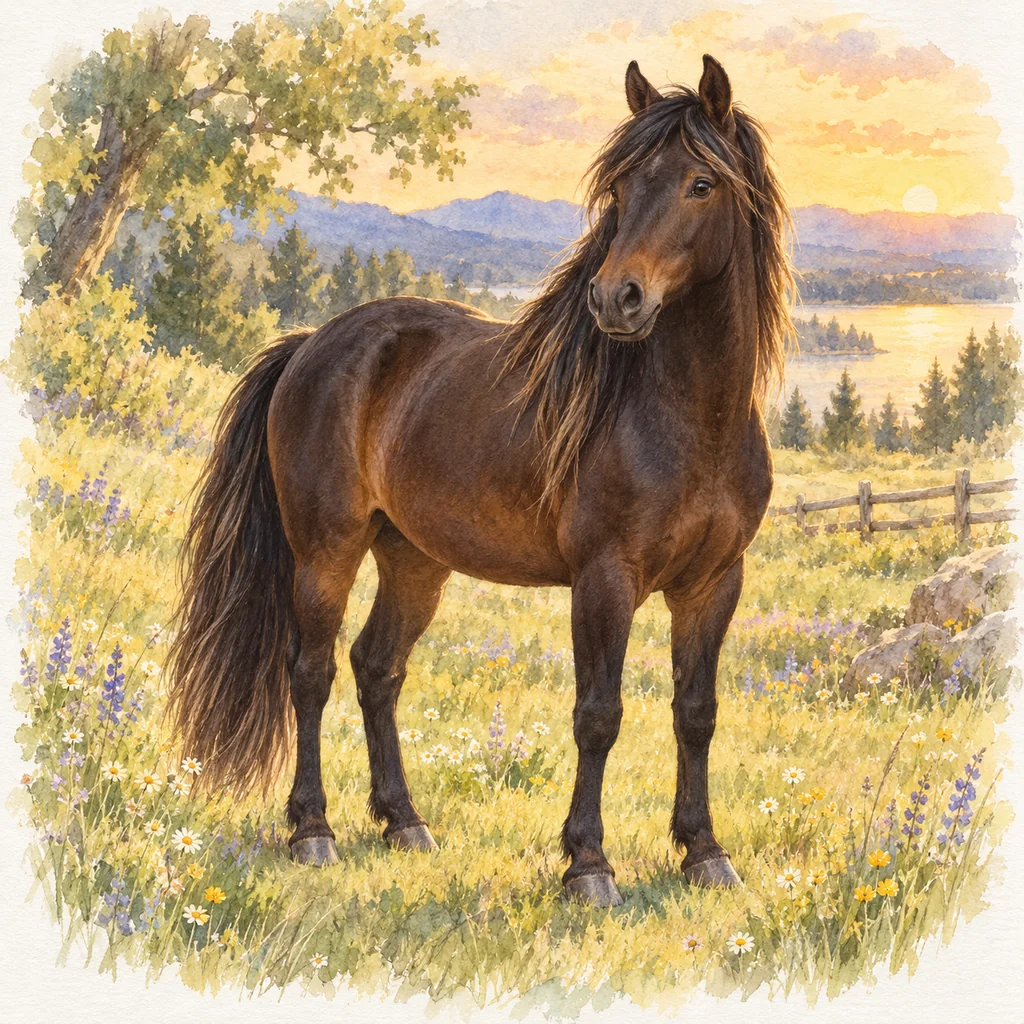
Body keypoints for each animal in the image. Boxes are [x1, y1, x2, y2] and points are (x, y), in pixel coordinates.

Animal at [167, 55, 793, 907]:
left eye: (702, 184)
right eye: (622, 189)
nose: (616, 298)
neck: (688, 420)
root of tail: (313, 343)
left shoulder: (714, 583)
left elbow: (696, 712)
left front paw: (703, 851)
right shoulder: (605, 580)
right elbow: (598, 714)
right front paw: (588, 864)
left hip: (414, 559)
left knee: (377, 668)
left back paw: (403, 822)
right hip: (326, 553)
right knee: (312, 673)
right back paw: (312, 831)